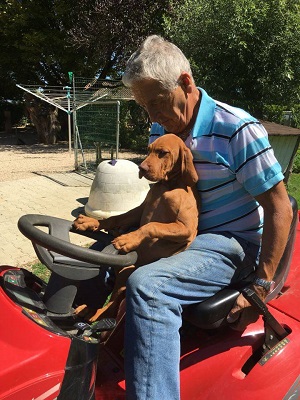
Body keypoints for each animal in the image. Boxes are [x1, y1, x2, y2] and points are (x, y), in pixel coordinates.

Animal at [73, 134, 199, 322]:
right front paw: (91, 222)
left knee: (111, 308)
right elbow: (115, 218)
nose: (142, 168)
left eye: (163, 153)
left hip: (127, 273)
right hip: (123, 272)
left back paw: (90, 312)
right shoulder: (140, 210)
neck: (166, 186)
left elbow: (151, 225)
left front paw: (128, 238)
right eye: (148, 150)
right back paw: (89, 311)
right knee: (111, 305)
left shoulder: (186, 228)